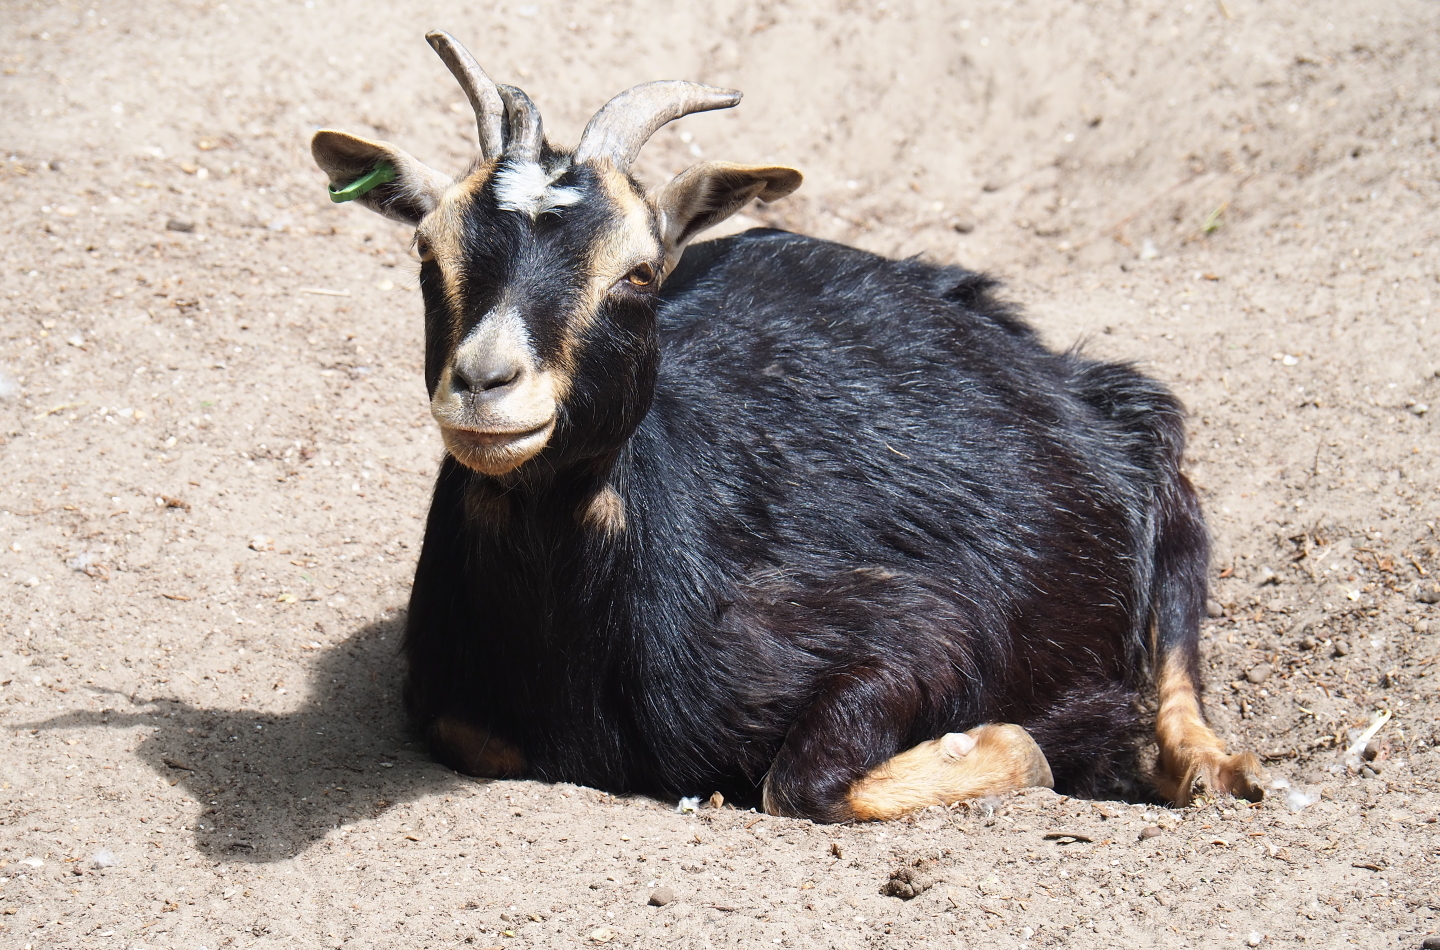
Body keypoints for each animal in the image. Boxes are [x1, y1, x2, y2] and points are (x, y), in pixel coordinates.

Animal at [311, 31, 1265, 821]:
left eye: (639, 274)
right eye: (427, 252)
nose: (485, 384)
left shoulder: (922, 624)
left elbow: (799, 783)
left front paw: (1018, 742)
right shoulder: (450, 708)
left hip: (1154, 461)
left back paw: (1212, 769)